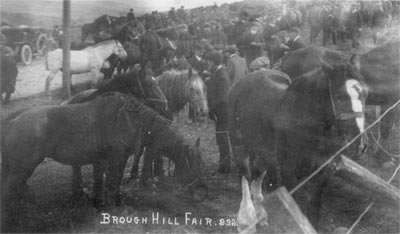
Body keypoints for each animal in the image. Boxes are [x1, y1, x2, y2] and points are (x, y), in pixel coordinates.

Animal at [2, 92, 209, 231]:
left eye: (202, 164)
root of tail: (13, 121)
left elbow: (114, 182)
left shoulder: (121, 158)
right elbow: (111, 181)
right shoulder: (115, 158)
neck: (133, 120)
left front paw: (116, 203)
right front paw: (112, 207)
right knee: (8, 191)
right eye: (194, 164)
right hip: (22, 168)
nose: (203, 193)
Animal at [228, 66, 368, 229]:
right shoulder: (288, 173)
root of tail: (241, 81)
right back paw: (246, 220)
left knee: (257, 177)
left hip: (263, 152)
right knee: (245, 177)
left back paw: (260, 216)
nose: (360, 144)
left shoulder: (321, 175)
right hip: (239, 146)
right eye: (339, 96)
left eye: (365, 94)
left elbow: (313, 212)